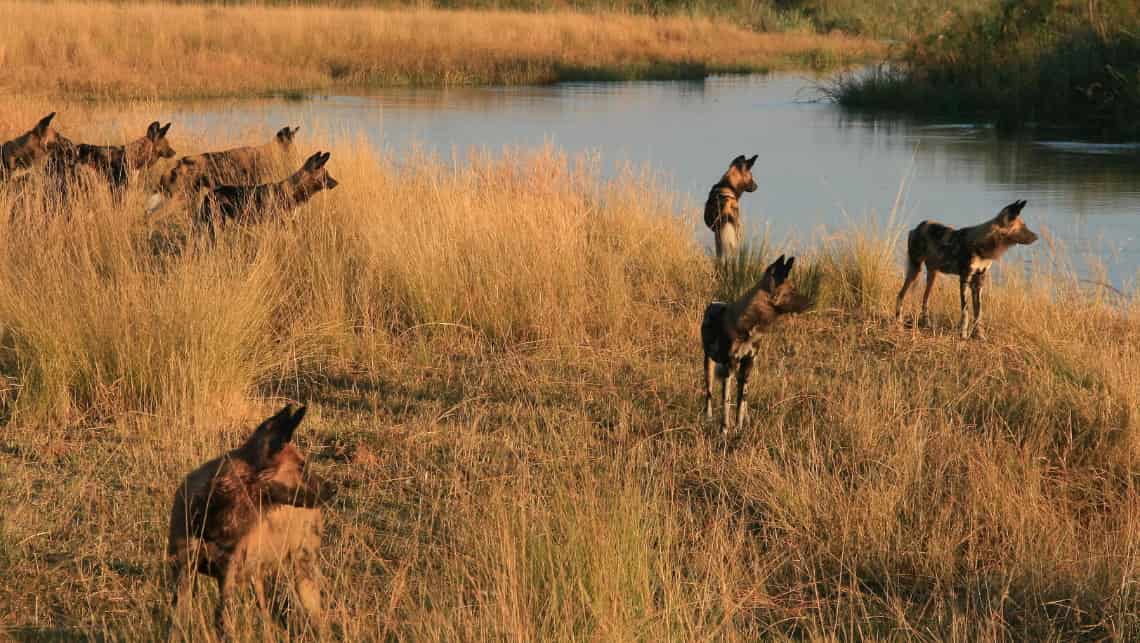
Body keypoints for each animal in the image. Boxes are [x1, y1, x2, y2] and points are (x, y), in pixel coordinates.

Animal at [166, 403, 332, 633]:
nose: (332, 489)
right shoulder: (183, 573)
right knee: (267, 618)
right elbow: (176, 626)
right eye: (301, 467)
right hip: (258, 578)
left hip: (303, 578)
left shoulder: (226, 576)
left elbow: (223, 624)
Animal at [702, 254, 811, 435]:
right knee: (709, 395)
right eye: (792, 291)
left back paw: (746, 420)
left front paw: (739, 428)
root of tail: (715, 302)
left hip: (743, 373)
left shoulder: (748, 364)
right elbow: (726, 403)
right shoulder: (729, 367)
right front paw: (724, 430)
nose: (810, 302)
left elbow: (740, 403)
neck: (749, 324)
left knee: (744, 399)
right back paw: (708, 418)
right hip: (709, 365)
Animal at [893, 199, 1039, 342]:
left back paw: (927, 324)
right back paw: (898, 324)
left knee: (925, 300)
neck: (983, 243)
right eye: (1023, 226)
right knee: (900, 295)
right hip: (915, 271)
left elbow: (978, 312)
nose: (1036, 237)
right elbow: (966, 311)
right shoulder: (965, 279)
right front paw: (963, 335)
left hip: (932, 275)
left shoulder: (979, 281)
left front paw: (979, 335)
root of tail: (918, 227)